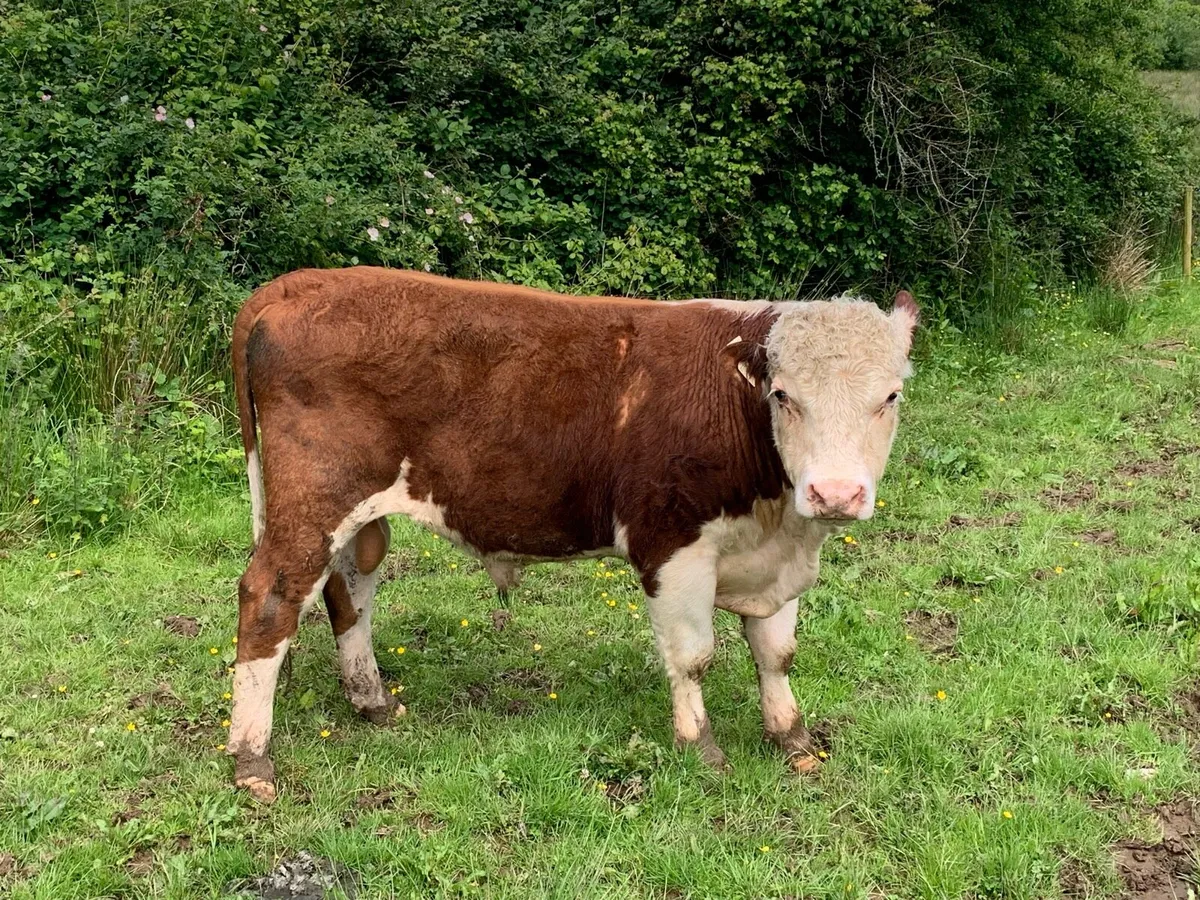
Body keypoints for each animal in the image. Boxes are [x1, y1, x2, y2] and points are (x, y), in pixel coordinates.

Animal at [227, 267, 919, 802]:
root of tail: (298, 283)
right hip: (310, 503)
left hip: (357, 516)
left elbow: (776, 653)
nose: (834, 493)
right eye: (782, 394)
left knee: (351, 590)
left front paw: (793, 739)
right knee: (270, 600)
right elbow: (693, 657)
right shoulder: (671, 545)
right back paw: (252, 760)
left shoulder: (779, 558)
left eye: (890, 396)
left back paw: (371, 700)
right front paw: (701, 750)